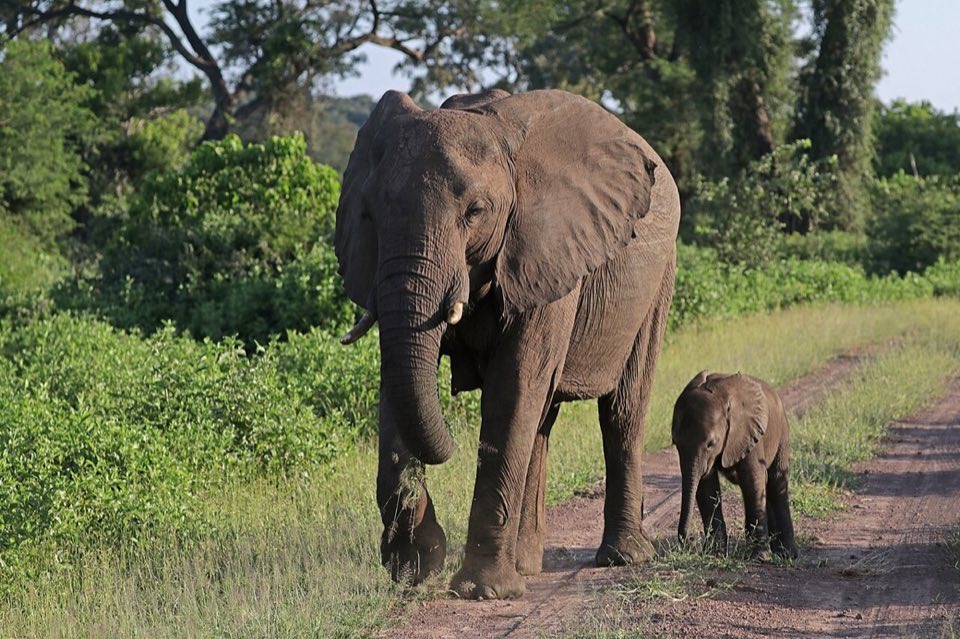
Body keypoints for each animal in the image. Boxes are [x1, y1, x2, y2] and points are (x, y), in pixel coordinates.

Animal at [334, 88, 681, 600]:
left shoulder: (546, 251)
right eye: (370, 214)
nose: (452, 444)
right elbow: (396, 381)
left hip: (659, 276)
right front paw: (416, 565)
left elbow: (513, 387)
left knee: (621, 410)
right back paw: (526, 566)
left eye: (475, 212)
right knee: (542, 419)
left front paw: (481, 591)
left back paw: (621, 558)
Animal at [672, 371, 798, 559]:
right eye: (675, 443)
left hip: (782, 431)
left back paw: (787, 554)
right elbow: (707, 488)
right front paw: (714, 554)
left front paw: (759, 557)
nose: (690, 541)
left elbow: (752, 481)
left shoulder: (747, 432)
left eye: (711, 444)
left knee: (776, 482)